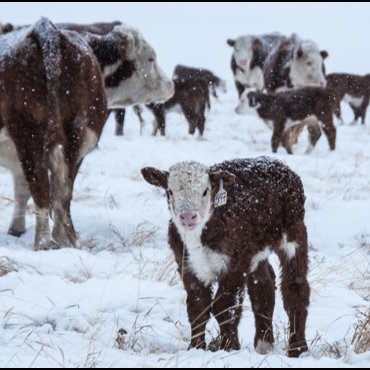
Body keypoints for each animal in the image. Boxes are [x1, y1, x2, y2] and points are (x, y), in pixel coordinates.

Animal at [0, 17, 173, 250]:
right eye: (151, 58)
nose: (171, 85)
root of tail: (48, 30)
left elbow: (23, 189)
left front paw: (16, 229)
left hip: (40, 137)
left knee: (47, 191)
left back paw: (50, 241)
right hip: (68, 139)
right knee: (57, 193)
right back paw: (59, 240)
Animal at [141, 158, 310, 356]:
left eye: (205, 191)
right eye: (170, 191)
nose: (188, 216)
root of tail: (277, 164)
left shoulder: (234, 263)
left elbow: (225, 305)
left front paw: (229, 347)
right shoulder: (186, 263)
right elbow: (198, 305)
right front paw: (196, 347)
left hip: (294, 232)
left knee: (295, 288)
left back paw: (297, 348)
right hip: (255, 250)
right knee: (263, 286)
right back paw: (264, 344)